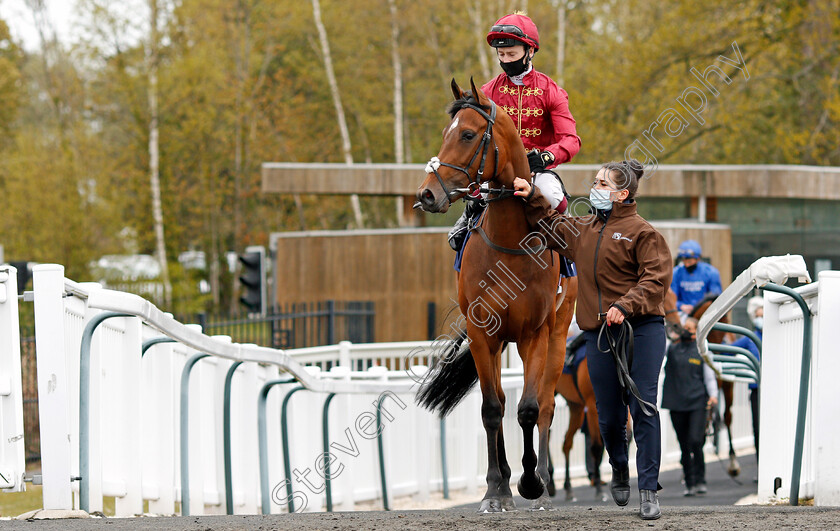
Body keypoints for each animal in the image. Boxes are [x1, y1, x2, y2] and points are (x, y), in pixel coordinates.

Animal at [416, 78, 576, 512]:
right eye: (446, 132)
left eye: (469, 135)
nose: (427, 194)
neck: (509, 243)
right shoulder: (482, 332)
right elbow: (492, 408)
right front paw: (495, 490)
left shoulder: (534, 334)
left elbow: (529, 409)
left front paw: (531, 483)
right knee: (503, 400)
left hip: (557, 334)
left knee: (546, 405)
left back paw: (542, 483)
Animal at [668, 290, 740, 478]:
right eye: (719, 322)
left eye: (726, 321)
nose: (723, 349)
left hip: (728, 387)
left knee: (728, 417)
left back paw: (732, 461)